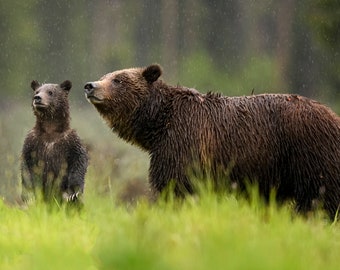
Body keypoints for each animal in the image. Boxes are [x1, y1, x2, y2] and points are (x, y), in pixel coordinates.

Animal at [84, 64, 340, 218]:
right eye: (104, 76)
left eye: (118, 79)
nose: (90, 86)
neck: (158, 123)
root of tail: (333, 116)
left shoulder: (183, 142)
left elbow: (175, 185)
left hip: (308, 152)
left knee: (319, 197)